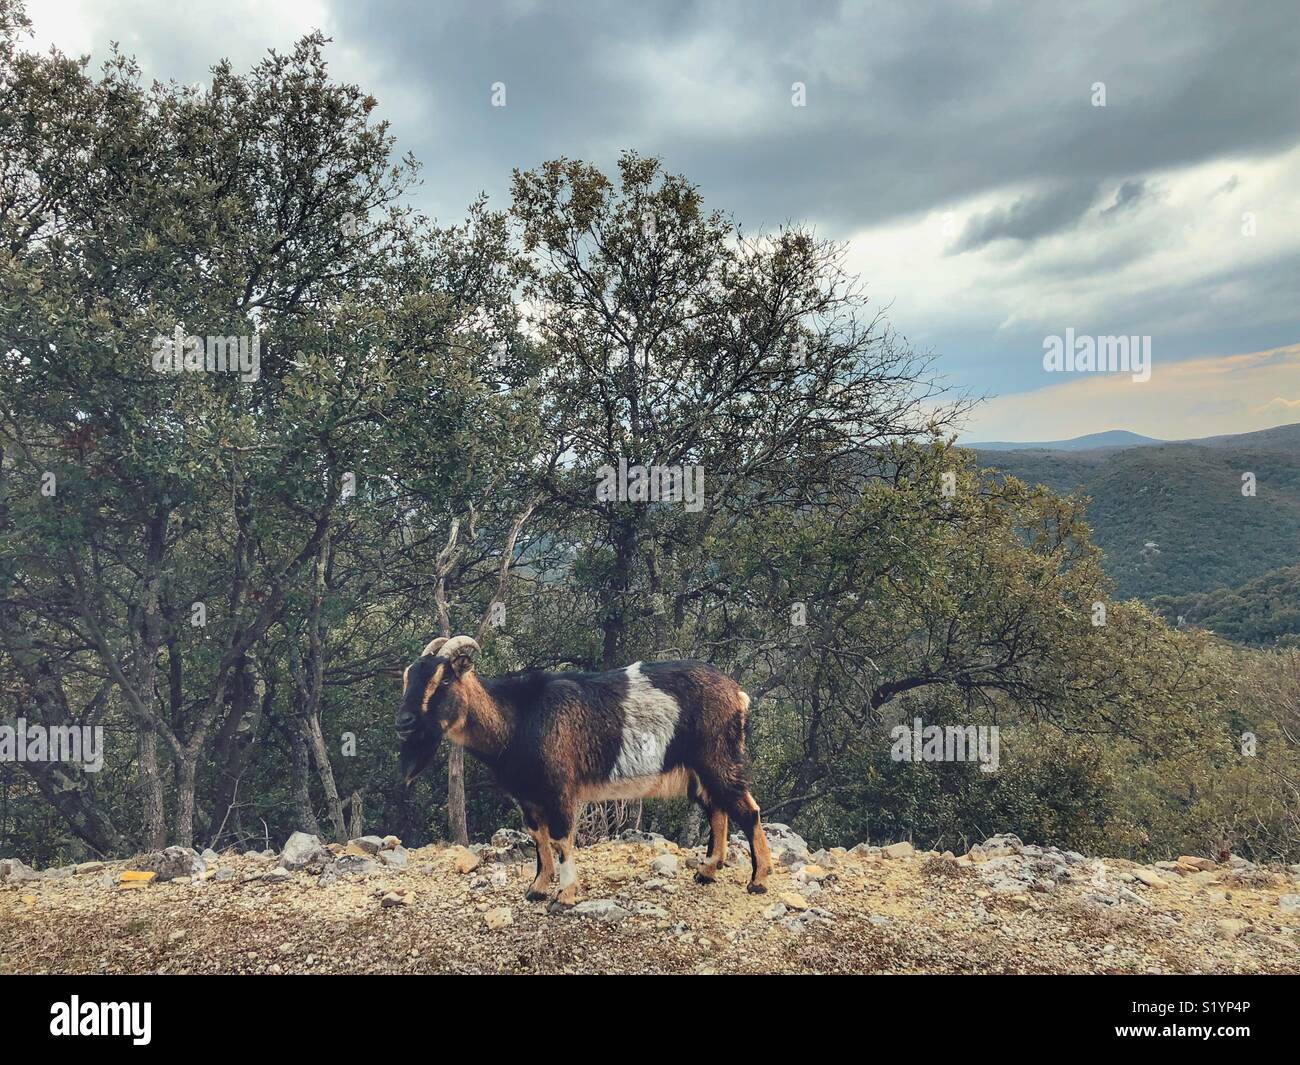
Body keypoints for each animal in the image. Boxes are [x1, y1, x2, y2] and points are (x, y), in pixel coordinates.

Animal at [395, 635, 773, 904]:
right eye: (408, 679)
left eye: (443, 681)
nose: (404, 722)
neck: (517, 719)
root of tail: (738, 695)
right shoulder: (528, 798)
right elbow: (538, 837)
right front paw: (536, 888)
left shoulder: (561, 790)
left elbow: (562, 838)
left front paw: (565, 895)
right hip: (699, 770)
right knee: (717, 809)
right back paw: (707, 871)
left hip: (718, 758)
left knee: (747, 809)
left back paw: (758, 881)